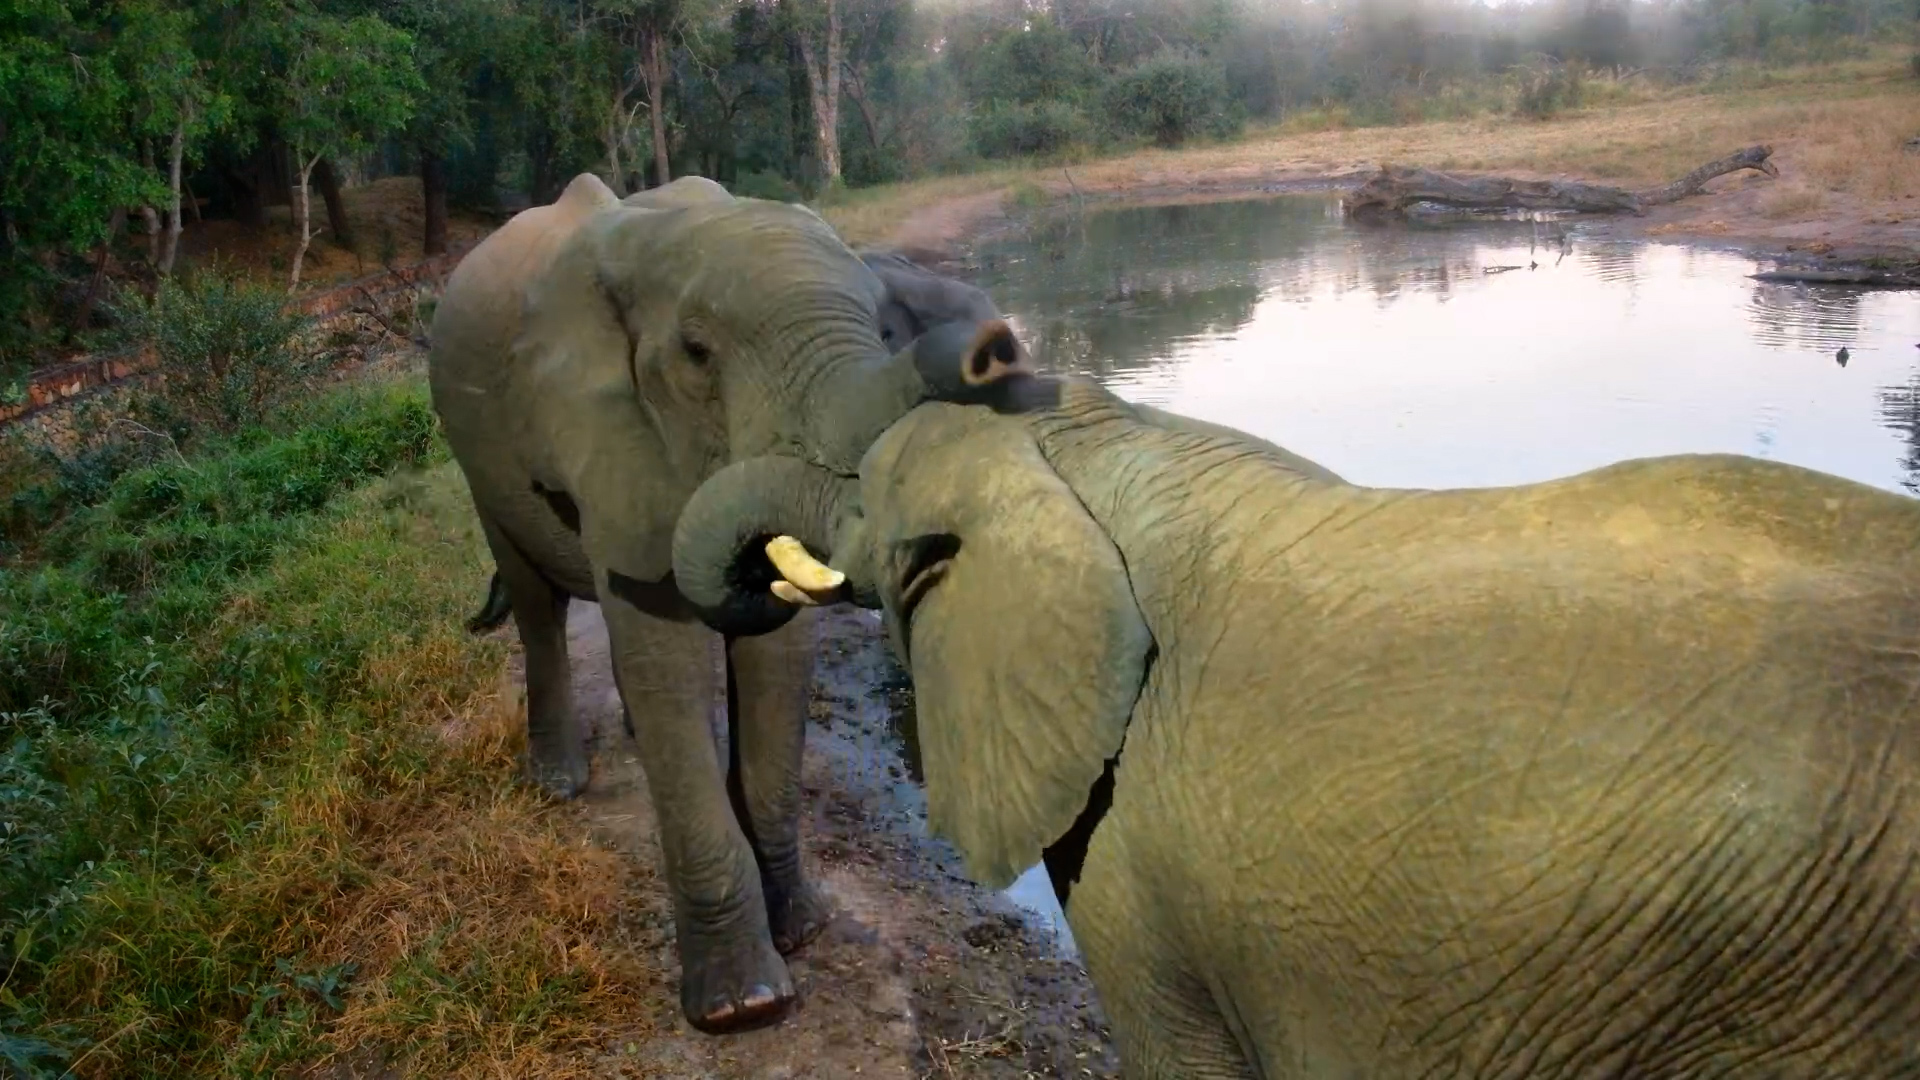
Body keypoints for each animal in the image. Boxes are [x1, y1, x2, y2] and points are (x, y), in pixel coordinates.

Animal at [427, 172, 1028, 1033]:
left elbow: (774, 655)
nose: (994, 349)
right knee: (538, 604)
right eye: (697, 354)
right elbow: (661, 650)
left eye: (879, 325)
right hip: (477, 456)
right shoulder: (604, 433)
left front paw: (802, 933)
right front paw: (743, 1008)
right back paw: (559, 783)